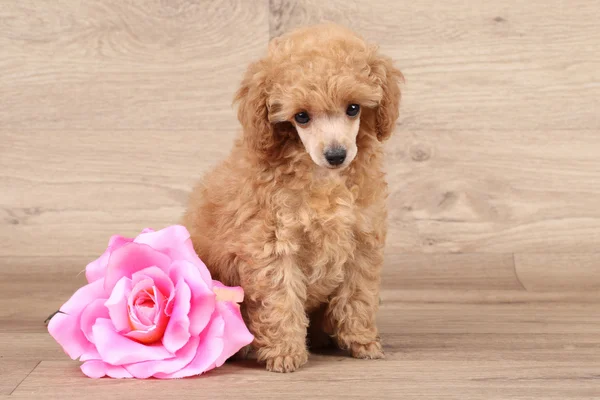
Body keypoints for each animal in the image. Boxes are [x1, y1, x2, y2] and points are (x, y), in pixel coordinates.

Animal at [183, 21, 404, 372]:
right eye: (301, 117)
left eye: (353, 109)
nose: (336, 155)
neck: (322, 177)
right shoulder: (272, 245)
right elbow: (280, 299)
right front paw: (285, 353)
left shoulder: (361, 239)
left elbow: (358, 295)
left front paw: (362, 342)